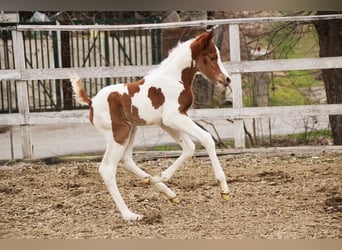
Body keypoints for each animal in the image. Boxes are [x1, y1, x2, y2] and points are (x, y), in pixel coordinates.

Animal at [72, 28, 232, 221]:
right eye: (212, 57)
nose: (227, 79)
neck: (174, 79)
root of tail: (92, 102)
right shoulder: (174, 117)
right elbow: (207, 139)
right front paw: (224, 189)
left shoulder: (166, 123)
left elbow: (189, 147)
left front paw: (159, 177)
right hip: (119, 134)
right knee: (107, 169)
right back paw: (129, 215)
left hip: (131, 130)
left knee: (126, 160)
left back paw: (161, 188)